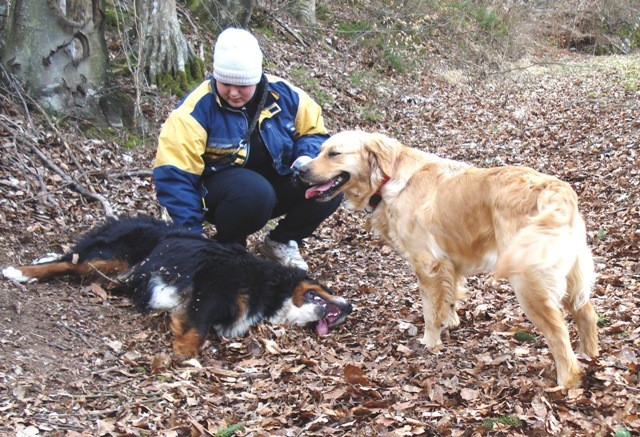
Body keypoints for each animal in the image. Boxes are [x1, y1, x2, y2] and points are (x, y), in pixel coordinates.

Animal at [2, 216, 352, 360]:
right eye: (323, 287)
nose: (349, 307)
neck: (268, 288)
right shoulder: (211, 282)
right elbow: (197, 326)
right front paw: (185, 354)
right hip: (114, 256)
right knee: (69, 261)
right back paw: (20, 272)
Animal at [300, 129, 600, 388]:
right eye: (320, 150)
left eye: (334, 153)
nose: (298, 170)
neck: (389, 177)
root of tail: (555, 189)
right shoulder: (448, 263)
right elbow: (449, 297)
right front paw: (451, 322)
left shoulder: (426, 265)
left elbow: (429, 310)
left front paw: (430, 342)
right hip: (570, 277)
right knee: (586, 312)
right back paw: (590, 356)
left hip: (528, 283)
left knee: (559, 335)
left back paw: (566, 382)